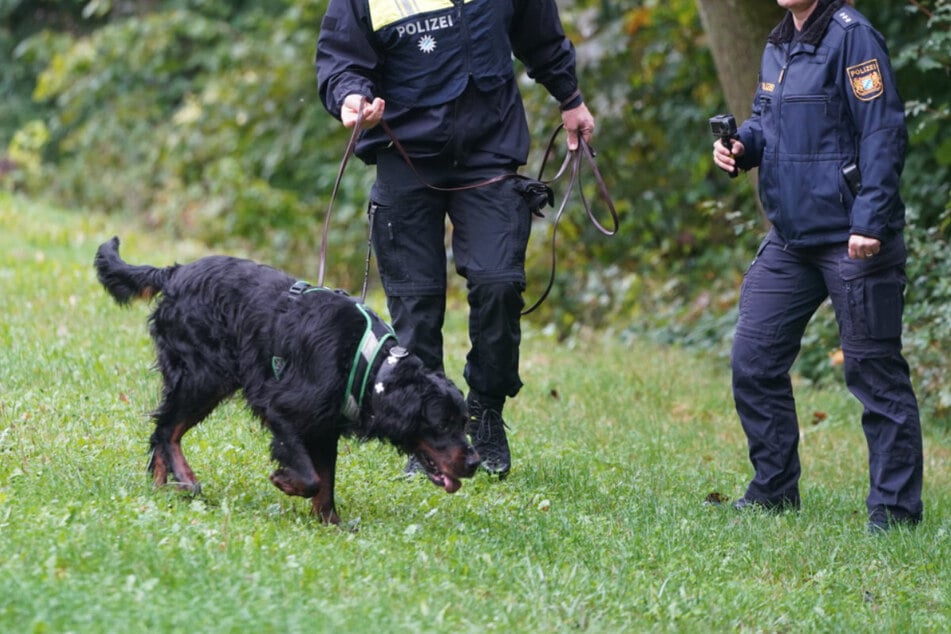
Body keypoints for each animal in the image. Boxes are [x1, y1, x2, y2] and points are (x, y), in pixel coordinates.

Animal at [94, 237, 480, 524]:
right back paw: (185, 478)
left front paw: (331, 524)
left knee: (162, 428)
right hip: (203, 375)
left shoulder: (325, 426)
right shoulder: (278, 406)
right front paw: (286, 482)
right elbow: (310, 477)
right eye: (442, 424)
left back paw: (161, 487)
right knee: (167, 429)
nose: (474, 463)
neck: (371, 365)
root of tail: (175, 273)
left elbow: (326, 482)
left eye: (464, 421)